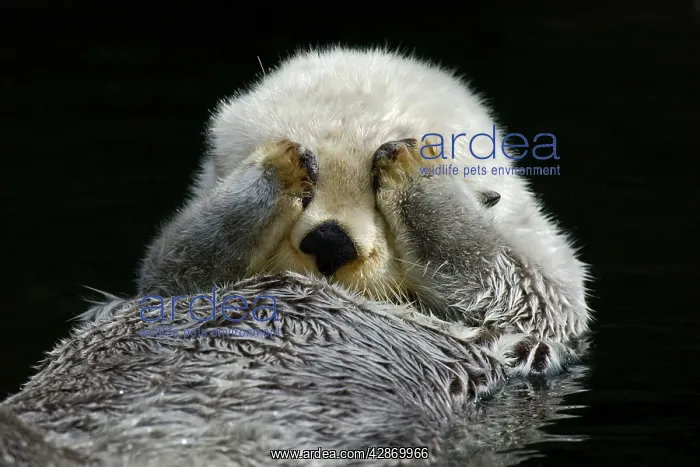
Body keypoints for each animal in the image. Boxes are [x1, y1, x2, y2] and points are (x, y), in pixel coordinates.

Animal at [0, 46, 590, 466]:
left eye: (374, 195)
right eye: (308, 191)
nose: (330, 241)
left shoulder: (542, 312)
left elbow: (523, 284)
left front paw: (414, 168)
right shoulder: (166, 286)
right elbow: (176, 262)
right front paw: (278, 164)